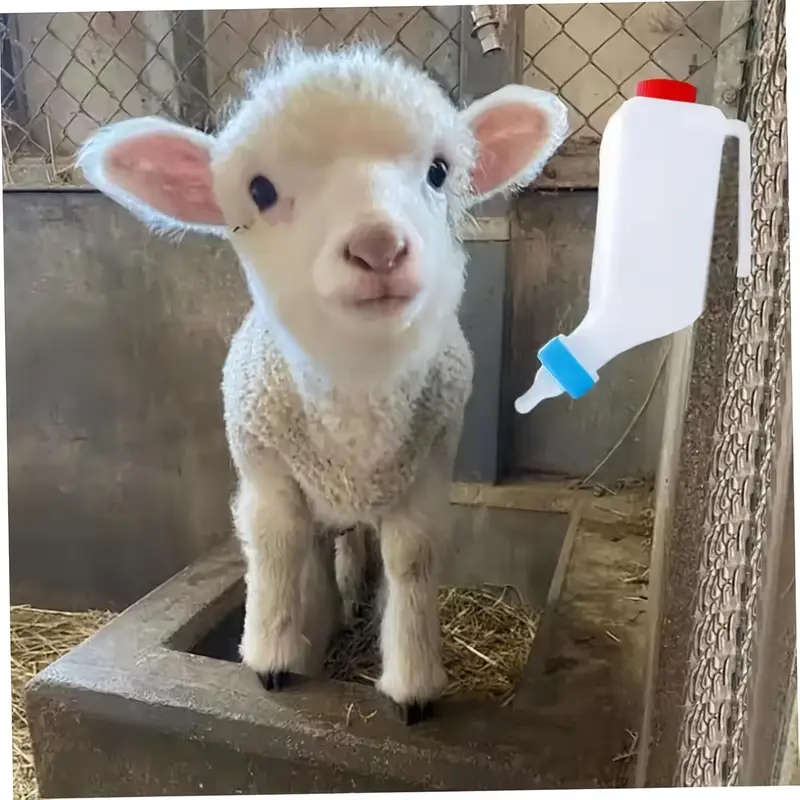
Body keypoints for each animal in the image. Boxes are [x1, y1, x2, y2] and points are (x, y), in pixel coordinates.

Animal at [77, 41, 568, 724]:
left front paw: (413, 683)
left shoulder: (426, 474)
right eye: (259, 190)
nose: (379, 245)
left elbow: (412, 561)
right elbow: (278, 549)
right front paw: (276, 659)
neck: (357, 398)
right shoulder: (266, 474)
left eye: (439, 171)